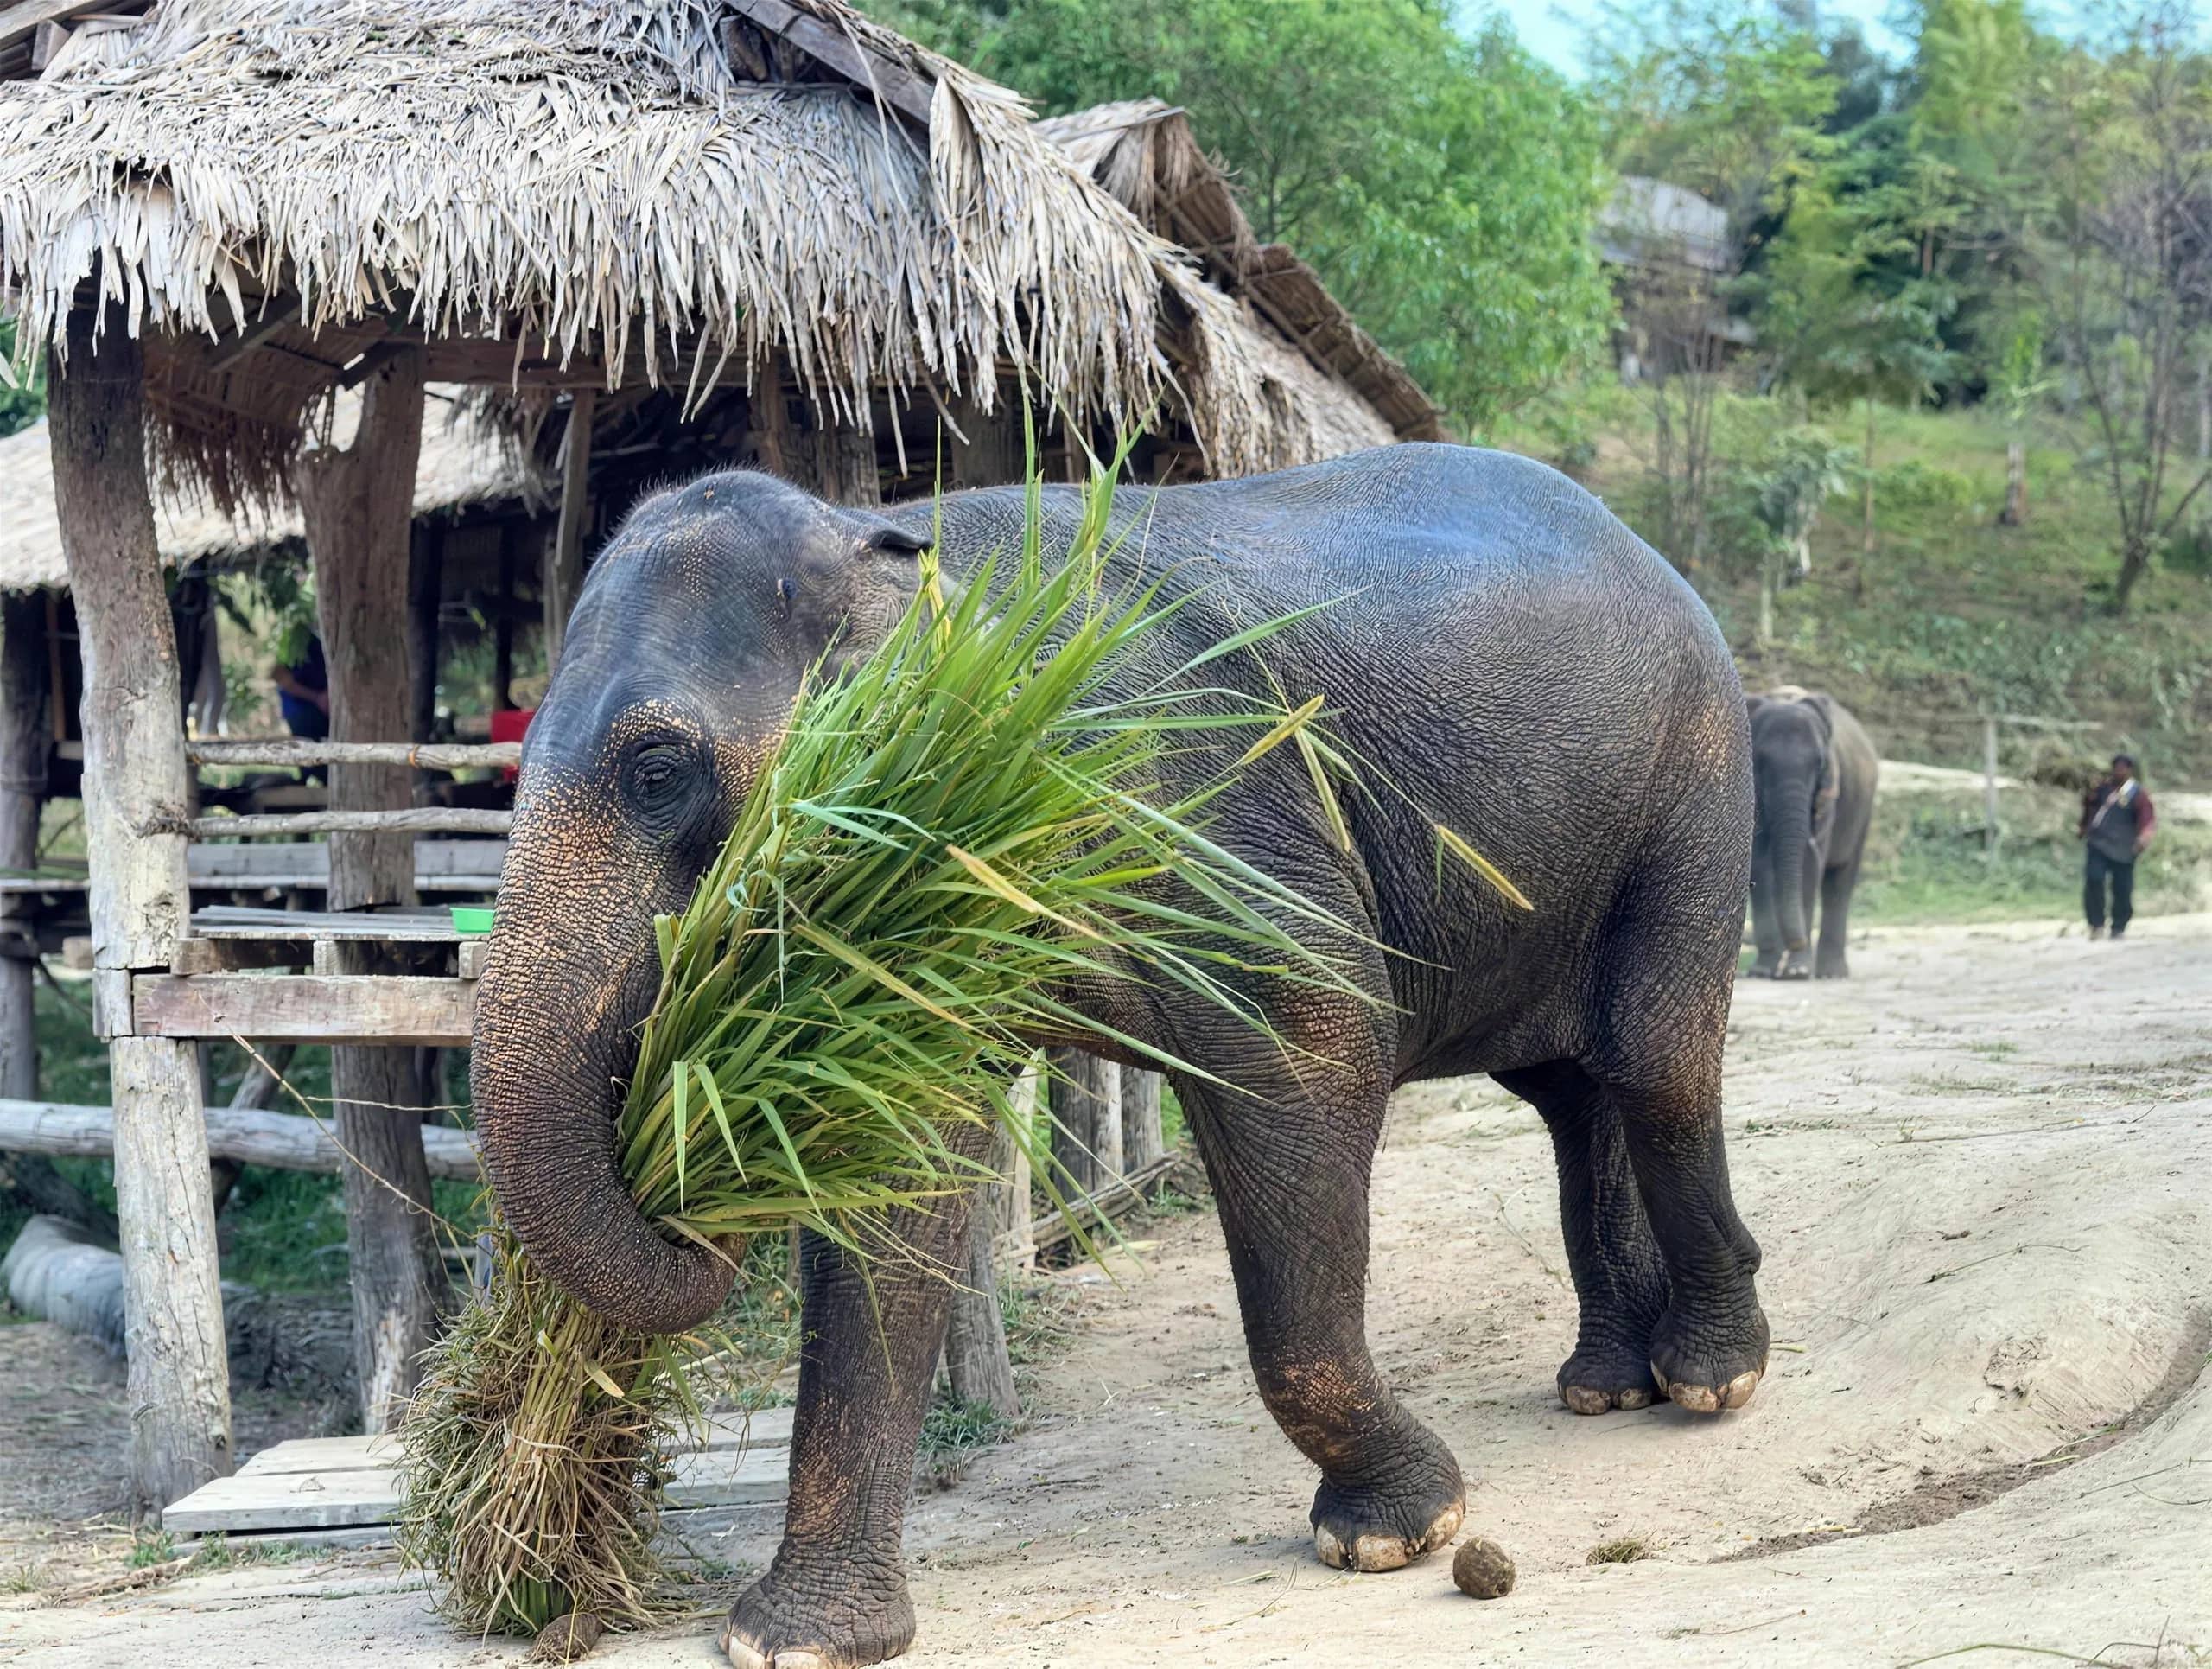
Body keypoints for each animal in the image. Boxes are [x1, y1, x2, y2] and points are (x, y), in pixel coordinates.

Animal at [471, 443, 1769, 1669]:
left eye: (658, 772)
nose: (688, 1173)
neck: (884, 540)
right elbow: (905, 1171)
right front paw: (794, 1641)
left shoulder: (1204, 813)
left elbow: (1314, 1045)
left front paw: (1397, 1536)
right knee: (1568, 1091)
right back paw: (1607, 1386)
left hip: (1698, 775)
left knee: (1651, 1057)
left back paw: (1710, 1382)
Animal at [1745, 686, 1877, 980]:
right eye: (1760, 760)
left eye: (1819, 763)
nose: (1798, 943)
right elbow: (1759, 862)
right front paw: (1763, 970)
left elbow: (1807, 865)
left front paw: (1797, 971)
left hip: (1864, 810)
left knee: (1840, 882)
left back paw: (1830, 973)